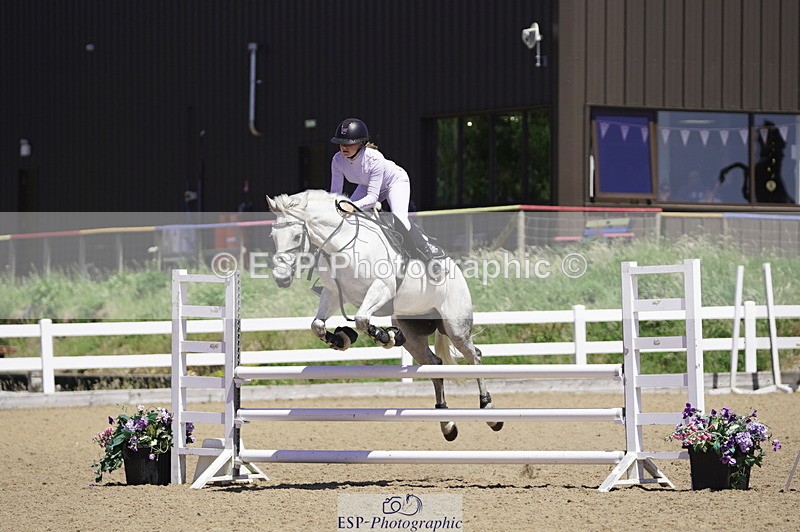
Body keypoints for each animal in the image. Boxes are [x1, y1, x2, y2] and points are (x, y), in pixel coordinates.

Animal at [265, 189, 503, 441]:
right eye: (273, 236)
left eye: (296, 236)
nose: (281, 279)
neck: (342, 246)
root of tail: (455, 267)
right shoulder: (332, 293)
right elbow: (318, 326)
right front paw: (341, 338)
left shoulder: (382, 288)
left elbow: (362, 320)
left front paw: (387, 337)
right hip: (414, 334)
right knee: (435, 364)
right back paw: (446, 423)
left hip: (456, 327)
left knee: (474, 357)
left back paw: (489, 411)